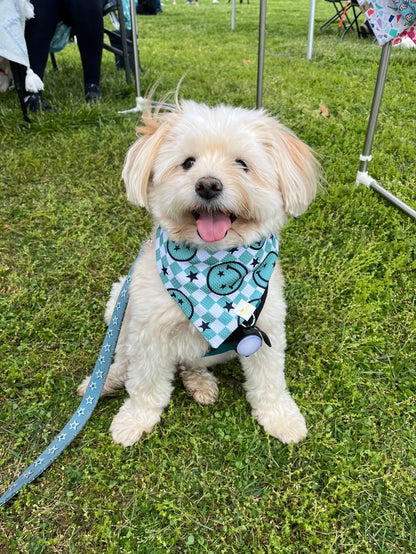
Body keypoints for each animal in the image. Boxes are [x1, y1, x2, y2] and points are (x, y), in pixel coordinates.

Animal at [77, 100, 318, 444]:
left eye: (242, 164)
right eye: (188, 163)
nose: (207, 184)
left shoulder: (266, 328)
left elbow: (270, 381)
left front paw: (280, 417)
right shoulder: (148, 333)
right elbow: (145, 383)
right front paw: (135, 419)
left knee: (188, 364)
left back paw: (199, 383)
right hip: (119, 307)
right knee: (123, 357)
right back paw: (105, 380)